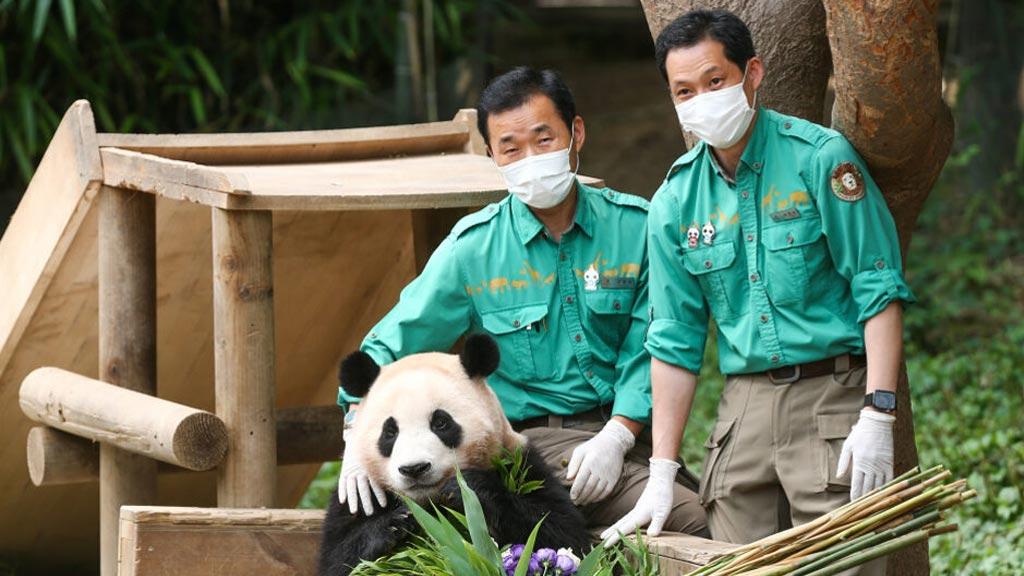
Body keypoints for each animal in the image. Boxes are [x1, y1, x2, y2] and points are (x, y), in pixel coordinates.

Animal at [319, 332, 593, 573]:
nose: (414, 469)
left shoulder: (521, 463)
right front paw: (394, 524)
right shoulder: (359, 496)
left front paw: (467, 488)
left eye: (441, 423)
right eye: (390, 432)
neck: (429, 501)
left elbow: (562, 533)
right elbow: (337, 560)